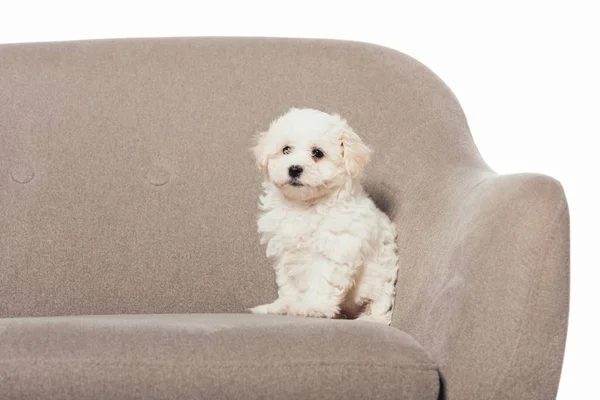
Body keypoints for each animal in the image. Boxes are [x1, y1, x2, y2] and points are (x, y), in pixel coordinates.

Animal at [248, 108, 398, 324]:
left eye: (317, 153)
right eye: (286, 150)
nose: (294, 168)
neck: (305, 206)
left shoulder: (335, 248)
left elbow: (323, 281)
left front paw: (313, 307)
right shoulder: (285, 252)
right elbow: (288, 283)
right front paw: (284, 305)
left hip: (382, 286)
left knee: (379, 308)